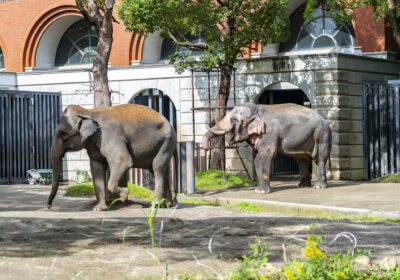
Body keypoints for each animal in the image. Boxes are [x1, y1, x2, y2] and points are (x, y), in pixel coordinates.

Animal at [47, 103, 177, 210]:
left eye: (63, 133)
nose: (50, 206)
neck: (88, 111)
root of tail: (170, 123)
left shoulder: (109, 136)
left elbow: (123, 161)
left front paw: (124, 194)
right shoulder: (94, 144)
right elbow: (96, 168)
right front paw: (99, 209)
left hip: (167, 141)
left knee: (157, 168)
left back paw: (156, 204)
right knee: (161, 170)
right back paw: (167, 205)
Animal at [203, 103, 332, 195]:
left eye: (234, 119)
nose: (206, 148)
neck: (256, 108)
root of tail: (326, 121)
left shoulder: (269, 132)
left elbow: (265, 155)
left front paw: (262, 192)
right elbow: (257, 158)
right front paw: (258, 190)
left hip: (322, 135)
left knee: (319, 158)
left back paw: (318, 187)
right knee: (302, 159)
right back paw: (302, 186)